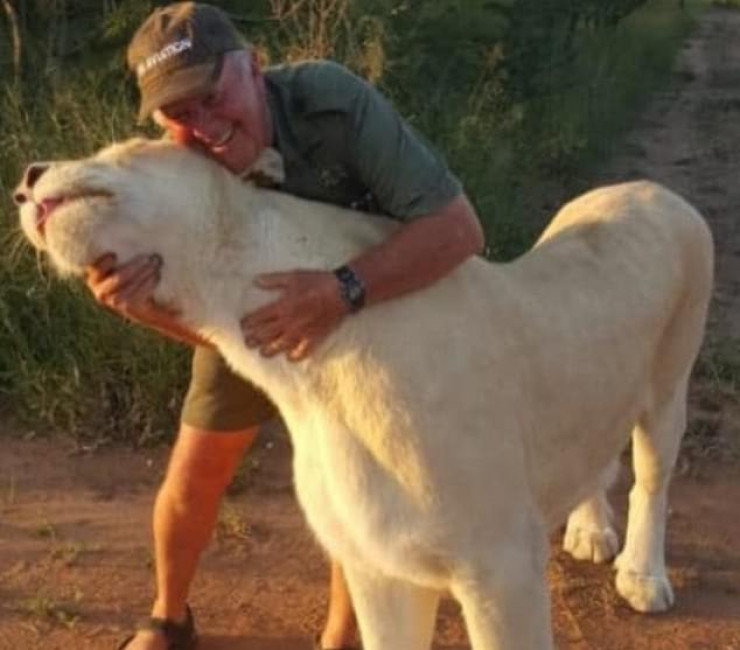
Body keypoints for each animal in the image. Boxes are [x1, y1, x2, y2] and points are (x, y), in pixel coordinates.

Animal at [14, 138, 713, 650]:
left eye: (126, 145)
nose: (25, 176)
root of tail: (650, 187)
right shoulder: (381, 565)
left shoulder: (501, 568)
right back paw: (590, 530)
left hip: (671, 378)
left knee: (654, 475)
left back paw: (643, 577)